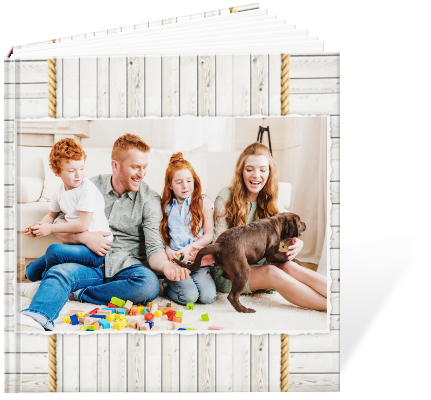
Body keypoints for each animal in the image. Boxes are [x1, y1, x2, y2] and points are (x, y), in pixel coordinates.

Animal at [173, 212, 306, 313]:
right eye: (300, 222)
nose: (305, 224)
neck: (277, 223)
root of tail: (219, 245)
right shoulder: (271, 253)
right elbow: (286, 256)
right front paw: (296, 260)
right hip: (243, 271)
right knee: (232, 296)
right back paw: (245, 310)